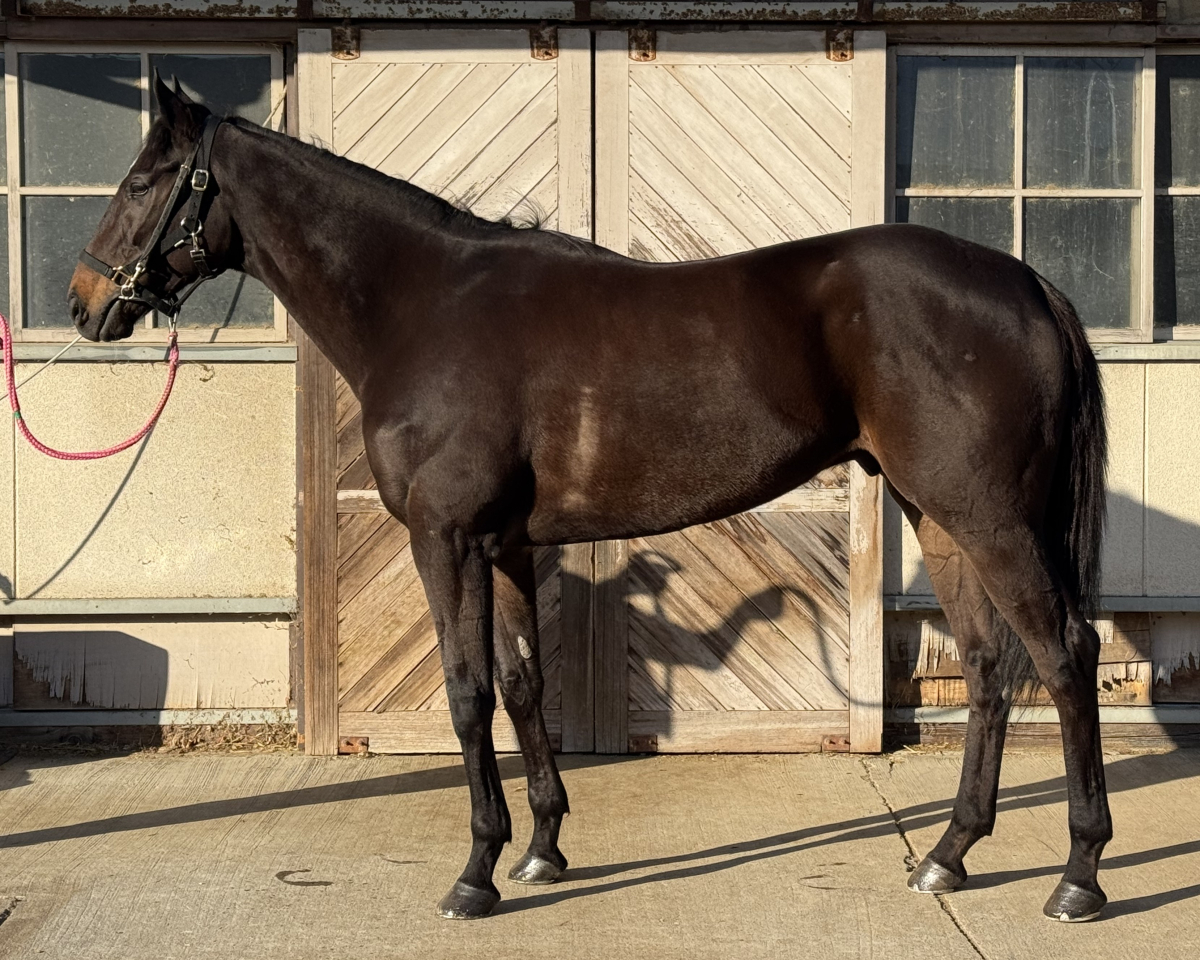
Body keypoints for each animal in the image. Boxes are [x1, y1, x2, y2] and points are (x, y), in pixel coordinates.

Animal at [68, 76, 1110, 923]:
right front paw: (541, 849)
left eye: (139, 183)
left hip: (994, 521)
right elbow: (525, 683)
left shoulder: (447, 540)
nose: (84, 303)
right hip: (942, 518)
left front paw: (475, 875)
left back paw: (1078, 877)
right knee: (987, 668)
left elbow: (467, 692)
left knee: (1064, 656)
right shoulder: (507, 546)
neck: (425, 304)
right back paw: (948, 856)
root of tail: (1026, 282)